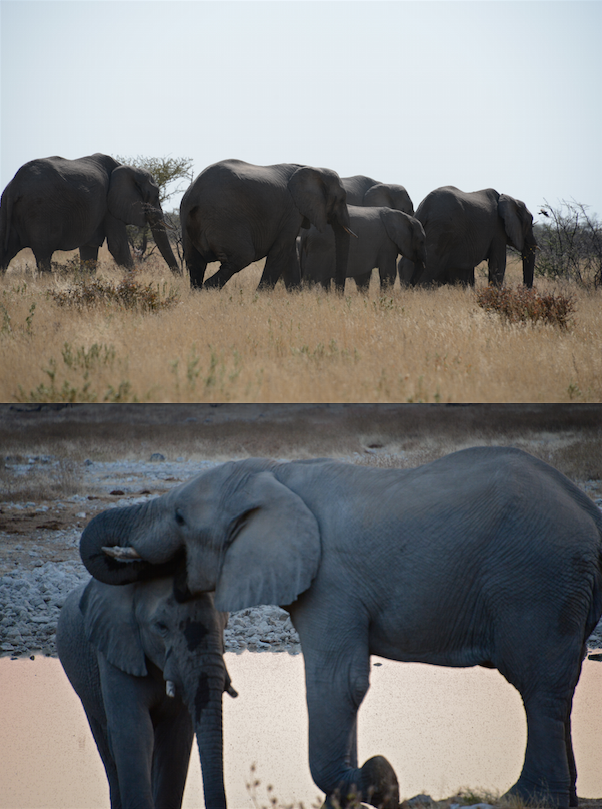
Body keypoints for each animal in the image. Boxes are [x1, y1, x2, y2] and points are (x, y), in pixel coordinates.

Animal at [0, 153, 179, 273]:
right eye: (155, 195)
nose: (178, 278)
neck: (127, 168)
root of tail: (14, 185)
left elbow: (89, 248)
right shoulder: (109, 204)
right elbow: (118, 246)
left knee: (5, 253)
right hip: (40, 211)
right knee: (43, 254)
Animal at [56, 575, 237, 809]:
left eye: (224, 624)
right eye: (161, 626)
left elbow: (175, 739)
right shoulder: (115, 651)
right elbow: (134, 731)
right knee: (108, 747)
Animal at [79, 446, 602, 809]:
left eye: (181, 517)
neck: (275, 472)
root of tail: (589, 515)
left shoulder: (331, 583)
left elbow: (337, 682)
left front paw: (376, 781)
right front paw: (353, 791)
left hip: (537, 582)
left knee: (538, 685)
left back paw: (526, 798)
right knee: (562, 684)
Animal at [179, 159, 354, 292]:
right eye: (342, 199)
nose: (339, 296)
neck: (311, 168)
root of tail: (194, 193)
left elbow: (289, 252)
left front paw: (295, 296)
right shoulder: (292, 211)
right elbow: (281, 251)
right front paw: (261, 296)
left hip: (188, 220)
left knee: (195, 264)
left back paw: (197, 294)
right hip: (223, 218)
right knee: (242, 257)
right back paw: (207, 291)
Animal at [398, 186, 537, 288]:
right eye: (530, 222)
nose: (525, 290)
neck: (509, 199)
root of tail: (424, 209)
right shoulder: (498, 231)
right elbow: (498, 264)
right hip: (441, 232)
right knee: (429, 267)